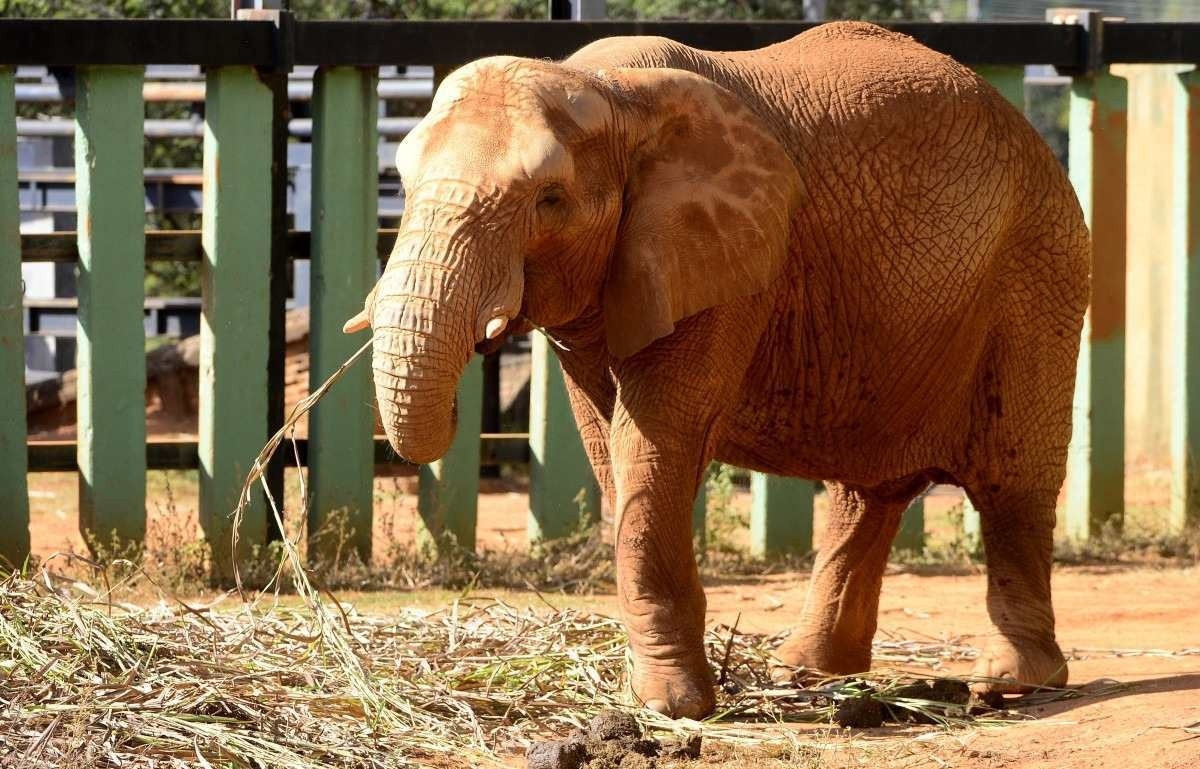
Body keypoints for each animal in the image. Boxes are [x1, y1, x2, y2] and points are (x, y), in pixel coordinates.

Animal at [345, 20, 1089, 715]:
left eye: (548, 199)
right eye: (401, 181)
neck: (608, 92)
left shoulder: (727, 261)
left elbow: (656, 438)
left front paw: (670, 707)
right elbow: (607, 441)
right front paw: (656, 694)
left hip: (1036, 272)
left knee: (1012, 483)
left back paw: (1012, 682)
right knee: (868, 493)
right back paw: (810, 672)